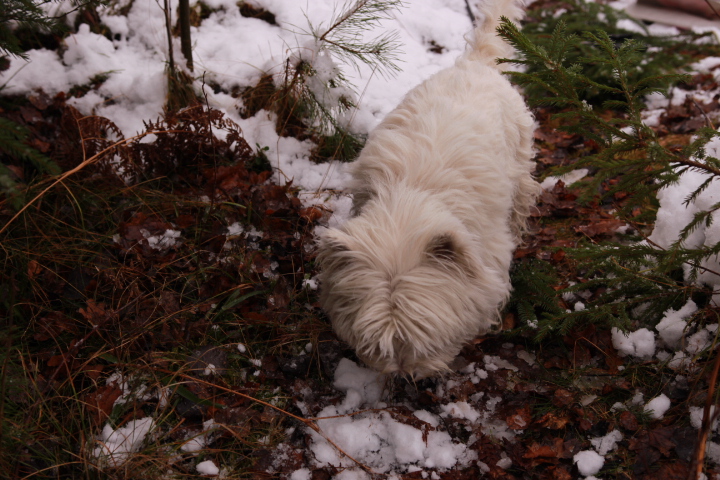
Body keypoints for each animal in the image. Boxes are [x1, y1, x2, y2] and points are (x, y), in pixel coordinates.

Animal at [317, 0, 539, 379]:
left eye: (425, 337)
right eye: (377, 341)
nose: (406, 373)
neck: (409, 198)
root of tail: (475, 63)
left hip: (521, 160)